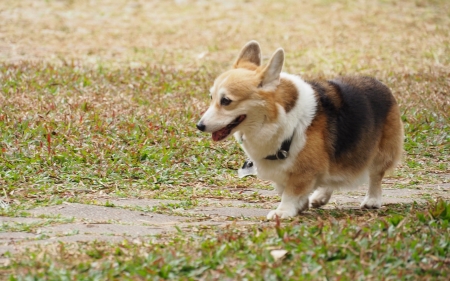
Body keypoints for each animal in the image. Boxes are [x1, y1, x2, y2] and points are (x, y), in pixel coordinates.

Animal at [195, 40, 402, 218]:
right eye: (211, 97)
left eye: (226, 101)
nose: (199, 126)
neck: (277, 119)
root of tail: (380, 83)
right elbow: (286, 189)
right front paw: (301, 205)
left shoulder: (304, 169)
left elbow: (291, 192)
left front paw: (283, 211)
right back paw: (320, 197)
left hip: (381, 153)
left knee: (375, 176)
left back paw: (372, 199)